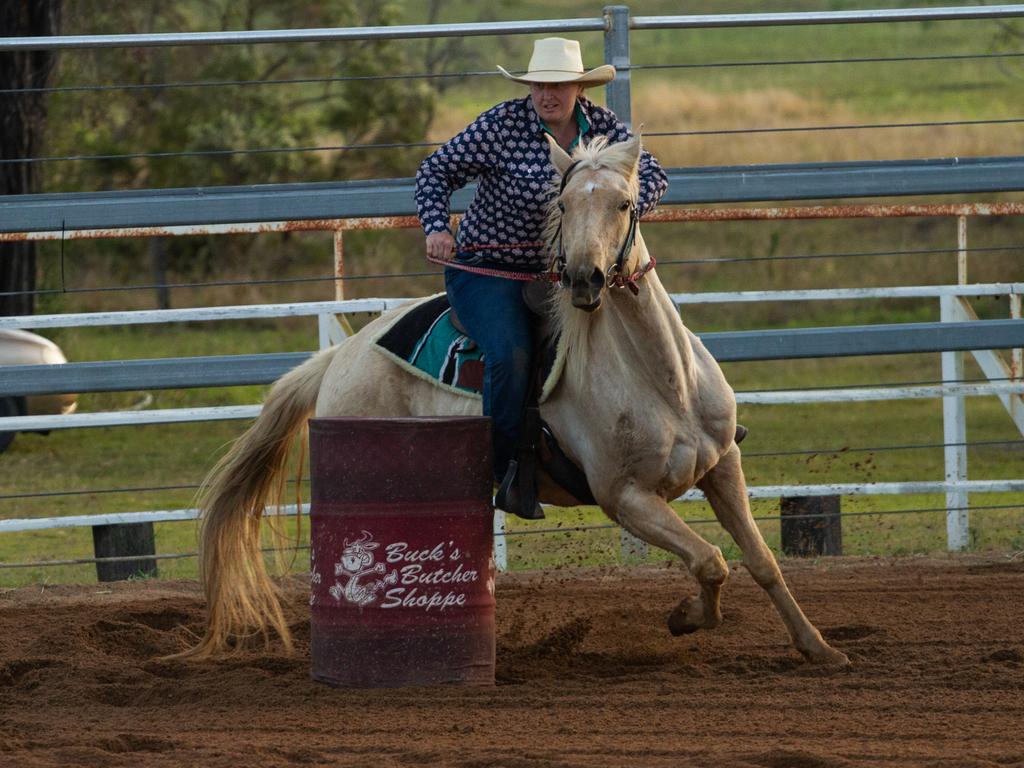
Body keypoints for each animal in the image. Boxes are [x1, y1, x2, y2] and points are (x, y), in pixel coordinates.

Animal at [188, 134, 851, 667]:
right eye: (563, 203)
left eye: (623, 203)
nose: (584, 279)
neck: (661, 381)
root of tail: (342, 357)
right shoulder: (626, 498)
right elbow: (711, 561)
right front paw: (687, 617)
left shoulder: (722, 465)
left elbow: (760, 561)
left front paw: (818, 648)